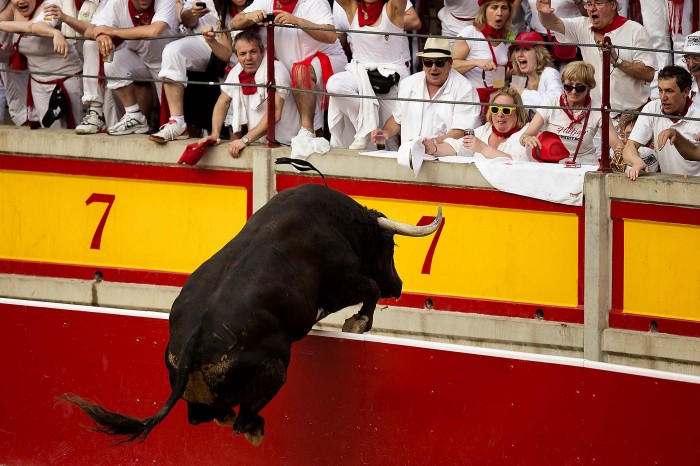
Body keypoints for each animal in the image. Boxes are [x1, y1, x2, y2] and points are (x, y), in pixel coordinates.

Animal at [61, 184, 442, 446]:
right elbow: (370, 290)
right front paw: (358, 322)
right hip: (275, 370)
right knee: (242, 420)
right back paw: (254, 430)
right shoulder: (344, 281)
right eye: (389, 246)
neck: (340, 224)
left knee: (204, 417)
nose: (399, 285)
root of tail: (193, 344)